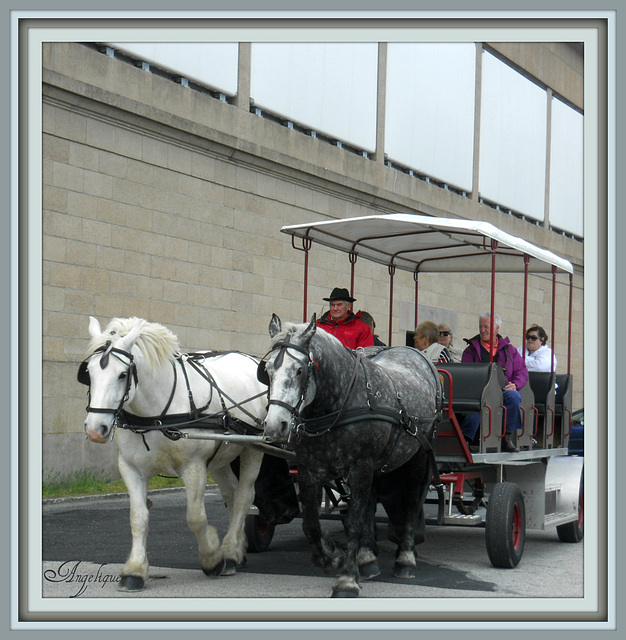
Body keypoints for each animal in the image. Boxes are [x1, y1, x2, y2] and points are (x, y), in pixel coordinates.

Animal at [78, 318, 266, 592]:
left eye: (122, 375)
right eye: (89, 373)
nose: (95, 429)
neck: (155, 413)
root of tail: (252, 359)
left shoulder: (194, 466)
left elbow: (195, 517)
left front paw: (212, 558)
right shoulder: (131, 468)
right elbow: (138, 517)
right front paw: (135, 570)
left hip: (254, 447)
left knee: (244, 496)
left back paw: (230, 552)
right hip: (220, 456)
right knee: (231, 493)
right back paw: (238, 548)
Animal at [260, 312, 442, 596]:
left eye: (299, 370)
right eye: (268, 370)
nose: (274, 425)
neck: (338, 403)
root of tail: (416, 353)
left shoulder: (360, 467)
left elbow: (354, 521)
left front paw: (346, 579)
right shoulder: (310, 469)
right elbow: (311, 523)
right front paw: (331, 557)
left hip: (418, 457)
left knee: (412, 502)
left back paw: (405, 559)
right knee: (370, 504)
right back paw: (367, 559)